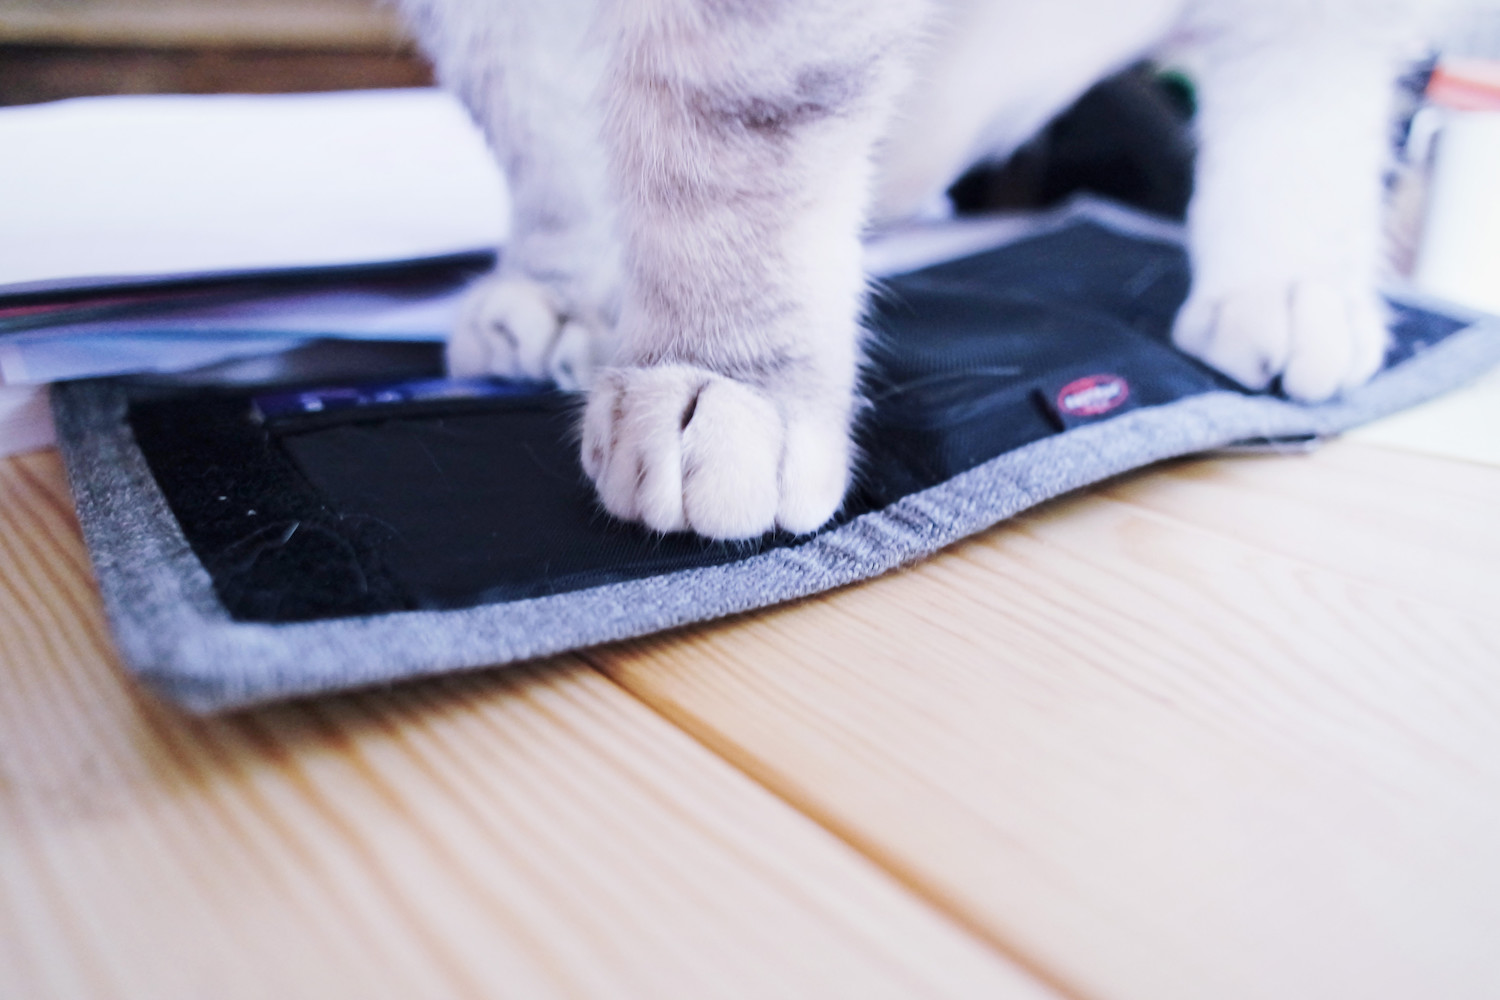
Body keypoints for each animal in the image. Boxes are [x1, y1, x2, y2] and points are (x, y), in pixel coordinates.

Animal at [396, 0, 1440, 539]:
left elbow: (728, 137)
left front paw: (724, 380)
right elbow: (539, 115)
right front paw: (568, 285)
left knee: (1304, 69)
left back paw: (1291, 280)